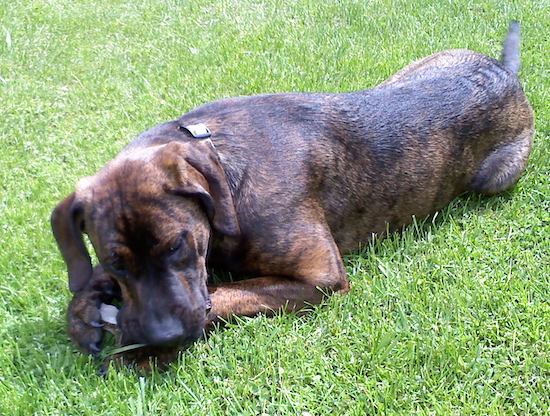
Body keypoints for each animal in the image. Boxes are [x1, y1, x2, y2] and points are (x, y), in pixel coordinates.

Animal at [51, 22, 536, 368]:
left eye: (177, 246)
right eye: (117, 262)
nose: (164, 336)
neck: (226, 171)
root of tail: (505, 71)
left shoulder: (319, 277)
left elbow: (226, 295)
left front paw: (141, 346)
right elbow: (92, 280)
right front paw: (84, 310)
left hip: (497, 176)